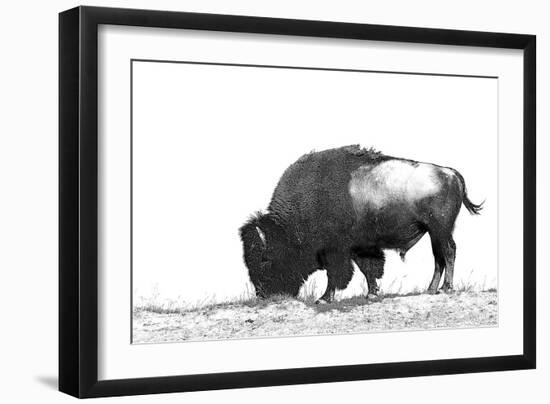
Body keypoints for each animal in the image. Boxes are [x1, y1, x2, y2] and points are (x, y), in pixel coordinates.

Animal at [239, 145, 480, 304]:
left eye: (265, 258)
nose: (262, 294)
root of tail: (450, 173)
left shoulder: (336, 251)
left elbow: (336, 274)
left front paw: (324, 298)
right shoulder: (360, 247)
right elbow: (369, 269)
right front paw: (371, 293)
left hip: (440, 230)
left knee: (448, 252)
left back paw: (446, 288)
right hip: (433, 232)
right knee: (439, 257)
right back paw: (430, 289)